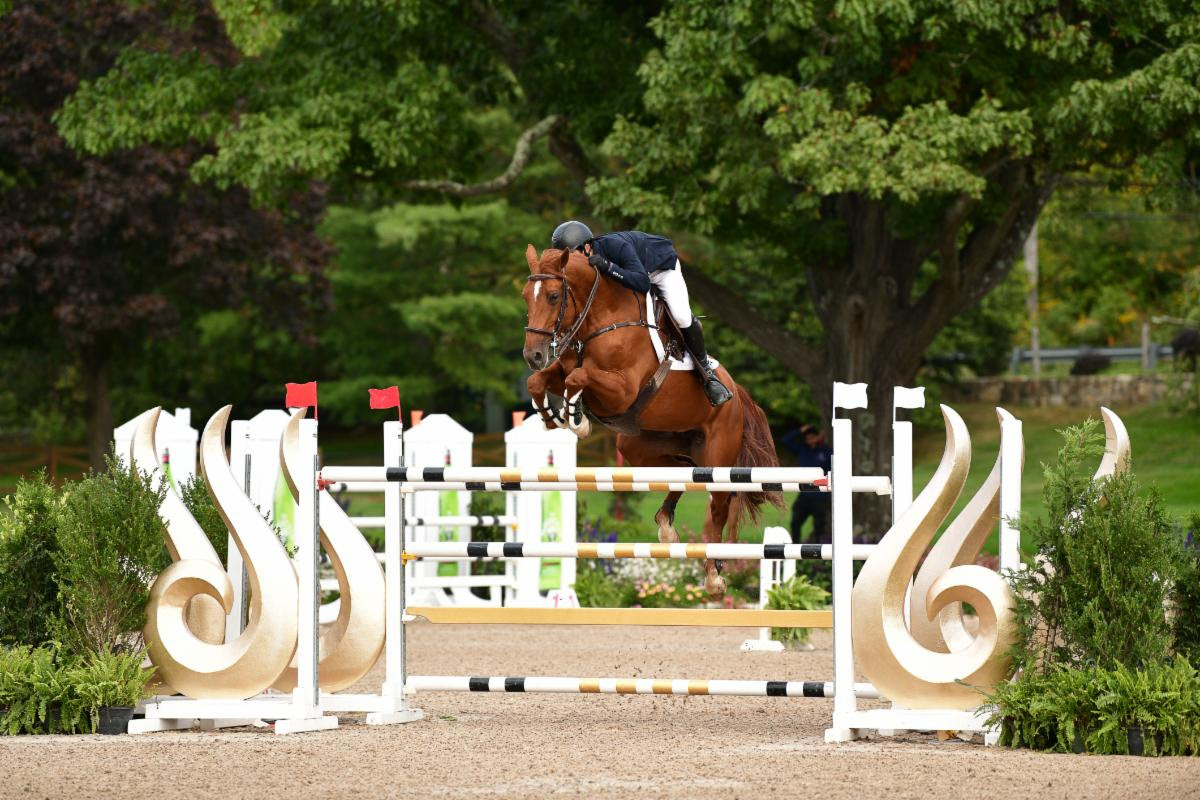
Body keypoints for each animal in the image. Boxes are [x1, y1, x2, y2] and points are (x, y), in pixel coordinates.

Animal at [520, 247, 782, 597]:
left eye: (552, 296)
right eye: (525, 296)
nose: (533, 355)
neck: (600, 319)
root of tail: (736, 392)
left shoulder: (622, 390)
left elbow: (579, 377)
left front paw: (576, 416)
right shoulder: (563, 369)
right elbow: (539, 381)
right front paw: (551, 415)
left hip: (718, 453)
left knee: (717, 507)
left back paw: (713, 576)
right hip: (642, 447)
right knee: (682, 472)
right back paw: (666, 524)